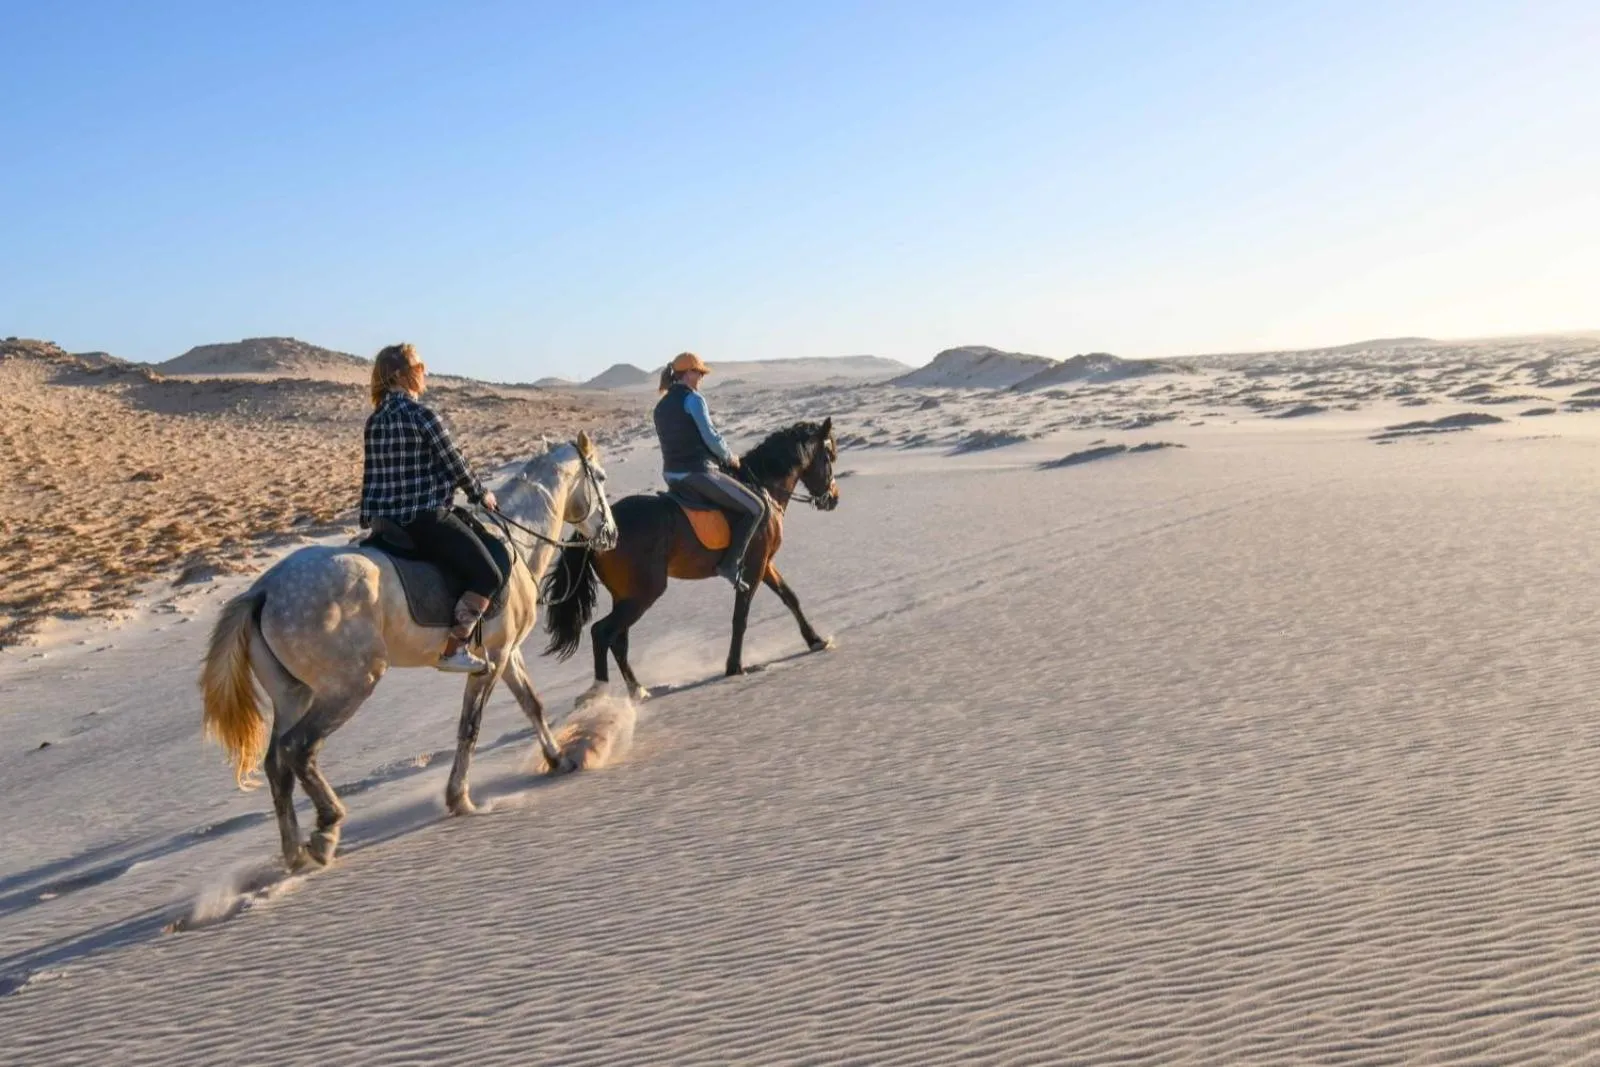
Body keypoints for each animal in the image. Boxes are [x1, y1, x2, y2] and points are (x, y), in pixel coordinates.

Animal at [200, 433, 618, 870]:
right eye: (601, 477)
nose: (611, 534)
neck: (515, 540)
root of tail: (263, 591)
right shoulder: (490, 662)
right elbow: (470, 728)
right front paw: (460, 798)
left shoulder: (505, 654)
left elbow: (532, 704)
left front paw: (558, 760)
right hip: (349, 686)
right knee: (299, 750)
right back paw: (327, 830)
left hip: (293, 694)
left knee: (276, 763)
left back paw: (295, 853)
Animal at [543, 418, 840, 702]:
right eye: (829, 457)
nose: (833, 499)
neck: (763, 488)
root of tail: (602, 531)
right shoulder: (754, 567)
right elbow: (740, 617)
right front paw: (734, 666)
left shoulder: (764, 564)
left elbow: (790, 597)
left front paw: (815, 640)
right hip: (644, 592)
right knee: (602, 633)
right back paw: (605, 696)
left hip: (626, 594)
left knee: (617, 640)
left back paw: (638, 690)